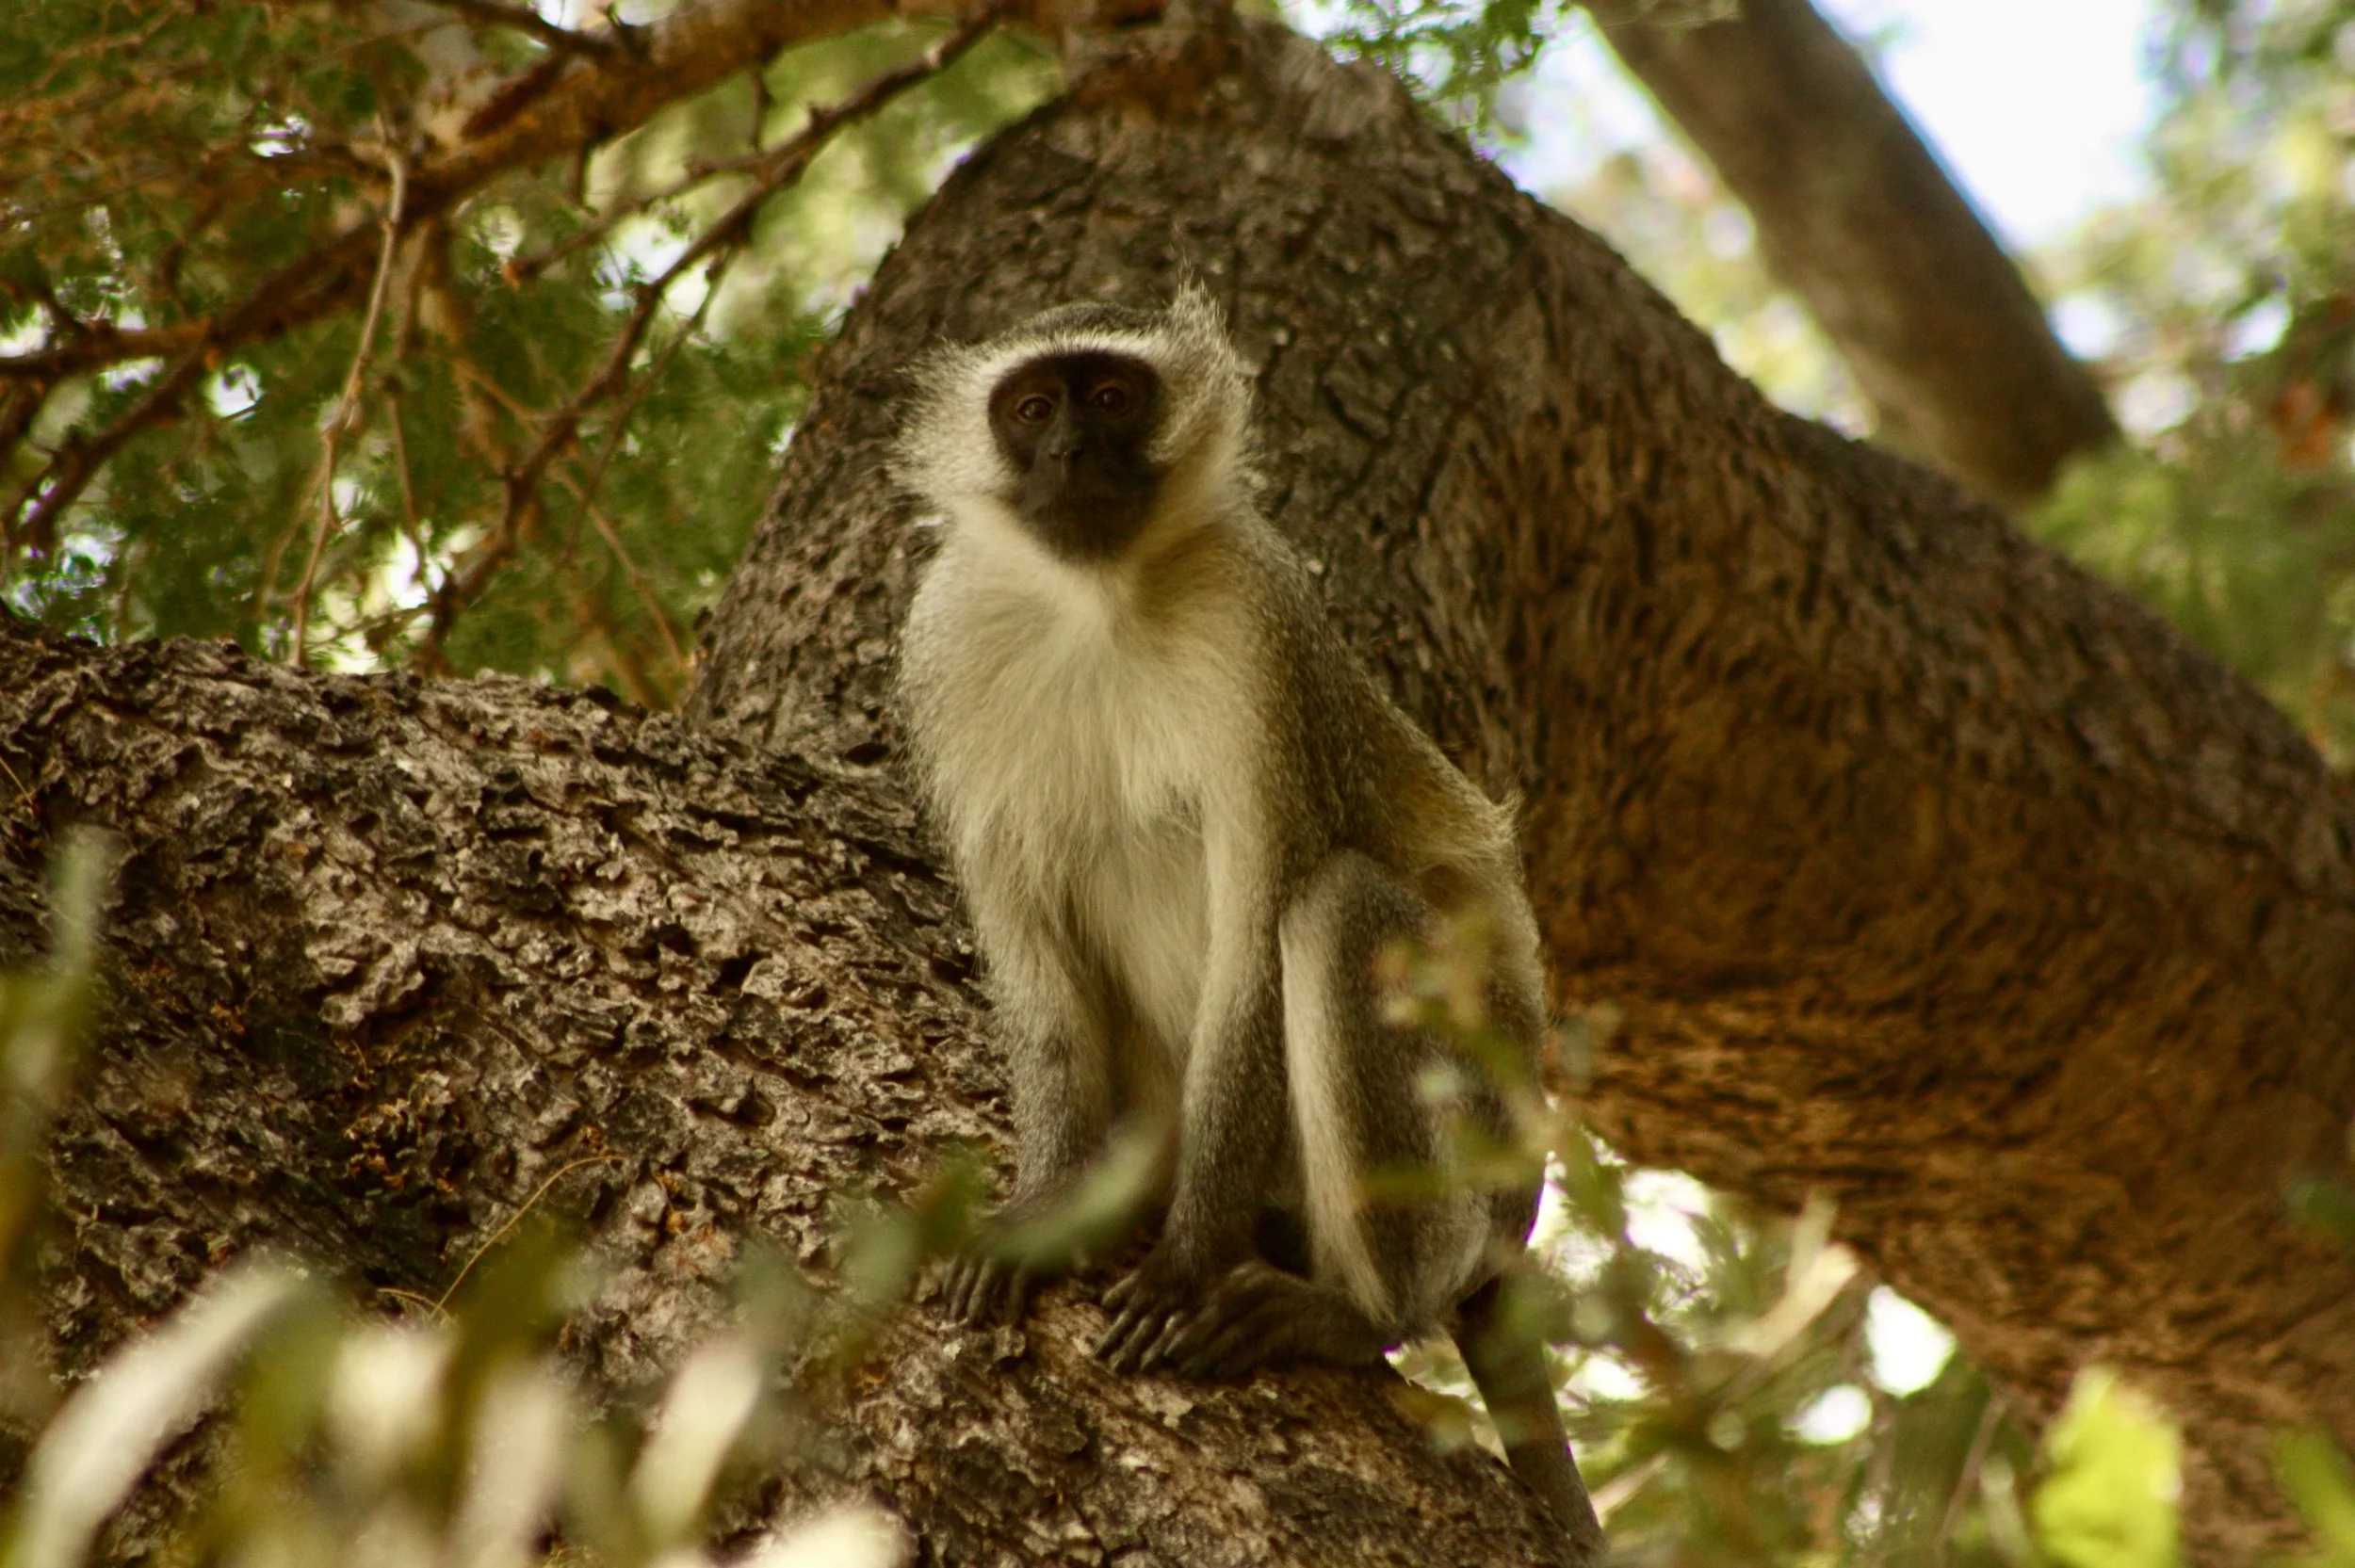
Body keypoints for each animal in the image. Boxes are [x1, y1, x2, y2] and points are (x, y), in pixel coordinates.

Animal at [893, 285, 1603, 1559]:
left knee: (1337, 909)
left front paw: (1184, 1263)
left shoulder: (1257, 632)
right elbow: (1034, 969)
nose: (1070, 455)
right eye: (1030, 410)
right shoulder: (947, 646)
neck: (1098, 606)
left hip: (1478, 1149)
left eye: (1111, 396)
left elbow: (1261, 929)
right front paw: (1045, 1214)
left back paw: (1351, 1311)